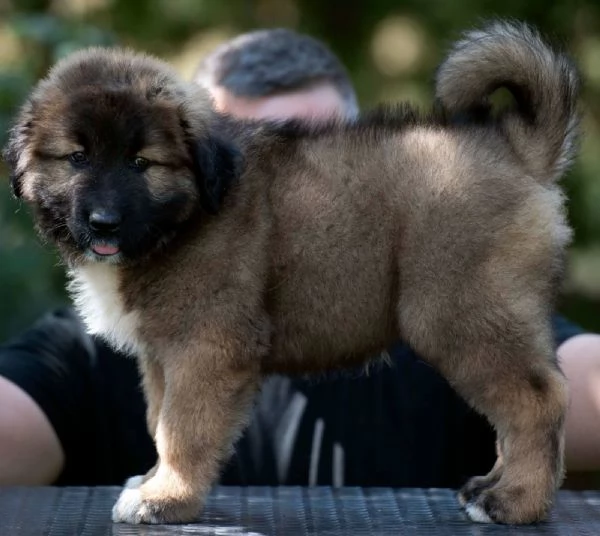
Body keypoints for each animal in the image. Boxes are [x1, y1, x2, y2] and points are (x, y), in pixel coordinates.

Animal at [3, 23, 576, 524]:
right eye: (77, 158)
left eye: (141, 163)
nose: (104, 222)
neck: (185, 218)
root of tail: (518, 148)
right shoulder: (162, 354)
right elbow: (160, 422)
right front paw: (153, 482)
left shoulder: (205, 346)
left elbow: (183, 429)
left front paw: (166, 498)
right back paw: (491, 487)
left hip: (461, 313)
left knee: (537, 401)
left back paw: (516, 501)